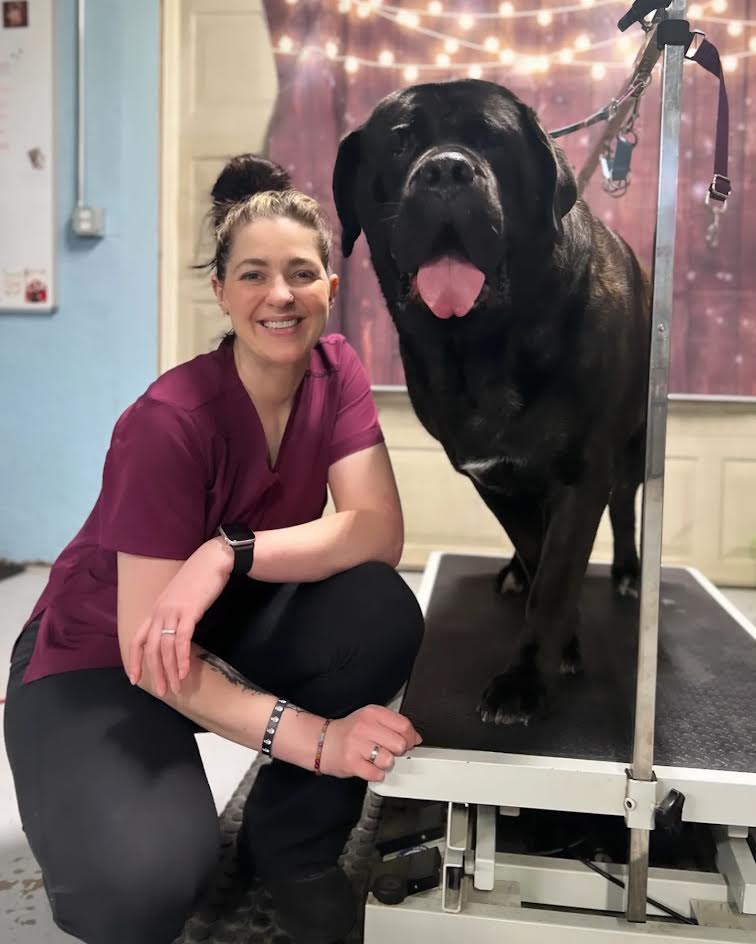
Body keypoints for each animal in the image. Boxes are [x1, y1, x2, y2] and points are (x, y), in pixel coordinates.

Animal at [332, 79, 651, 726]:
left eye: (494, 142)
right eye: (400, 144)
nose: (447, 171)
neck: (480, 348)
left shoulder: (582, 474)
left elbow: (558, 573)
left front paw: (525, 681)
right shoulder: (490, 476)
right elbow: (537, 555)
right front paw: (562, 641)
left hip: (632, 445)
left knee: (624, 507)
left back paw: (629, 574)